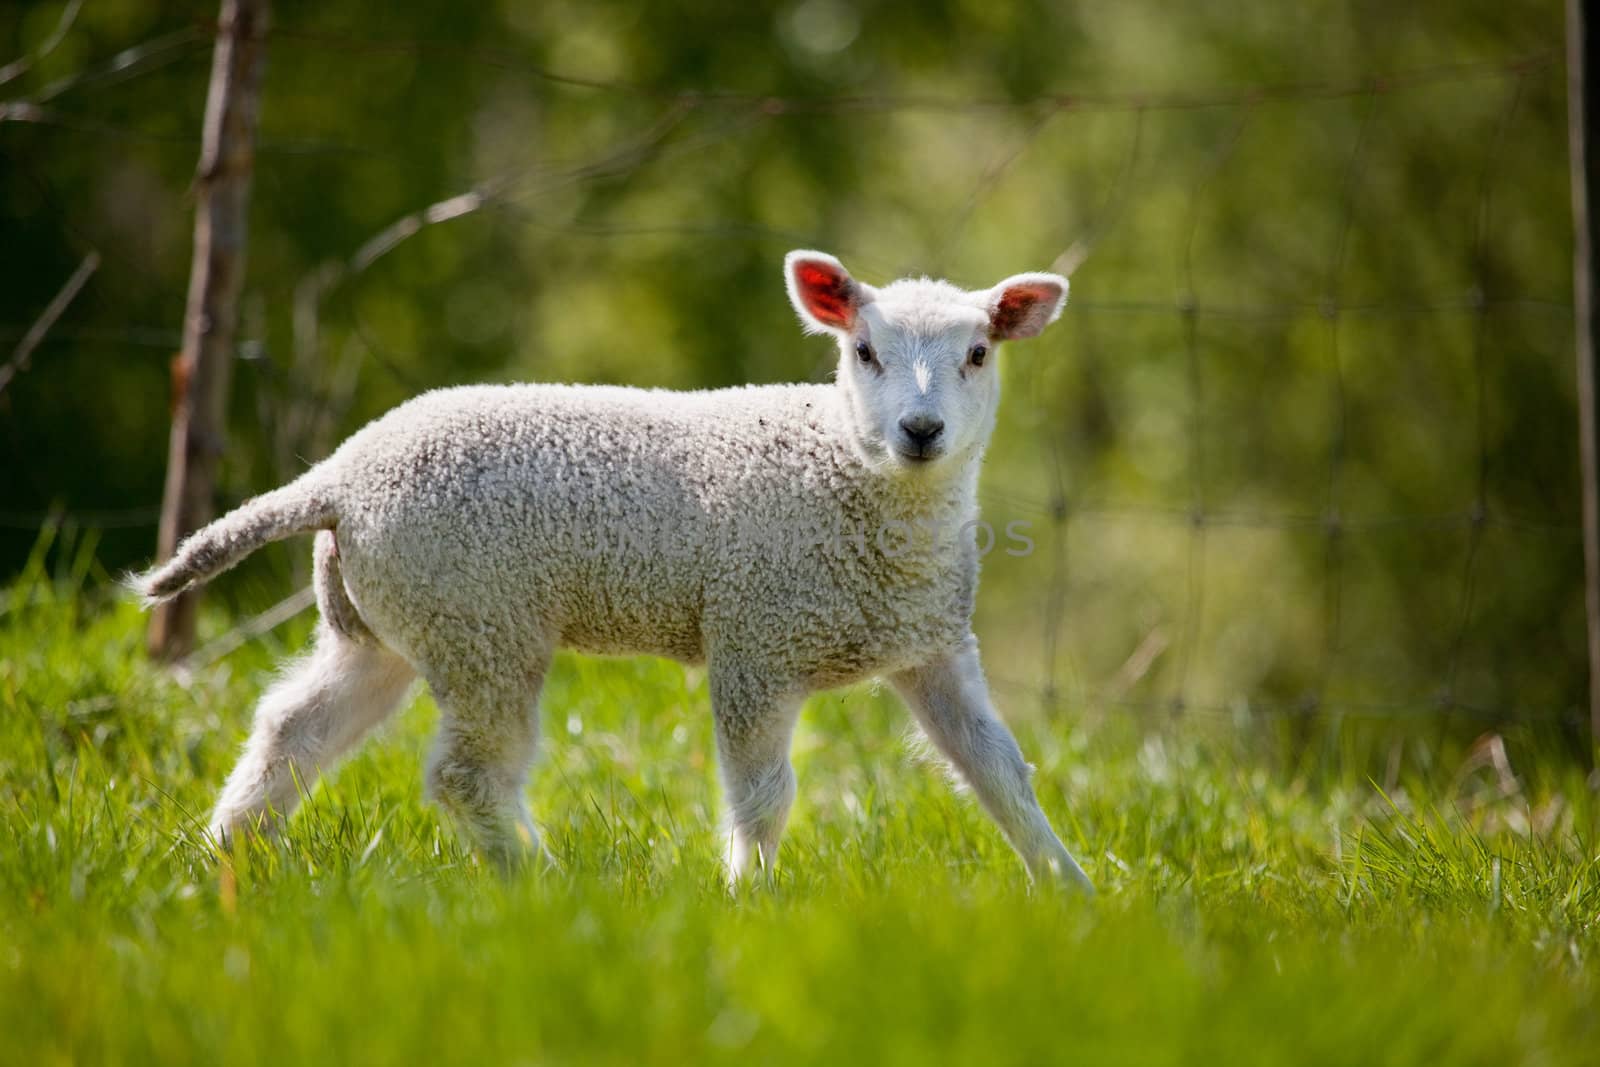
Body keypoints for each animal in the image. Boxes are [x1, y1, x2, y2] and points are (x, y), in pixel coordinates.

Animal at [131, 251, 1094, 895]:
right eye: (863, 351)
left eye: (979, 354)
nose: (922, 430)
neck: (853, 478)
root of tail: (339, 475)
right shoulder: (756, 640)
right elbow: (763, 795)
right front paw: (752, 899)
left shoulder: (934, 647)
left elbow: (1002, 772)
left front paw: (1074, 892)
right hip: (483, 618)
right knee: (467, 774)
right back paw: (543, 882)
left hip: (389, 620)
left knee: (294, 726)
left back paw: (226, 854)